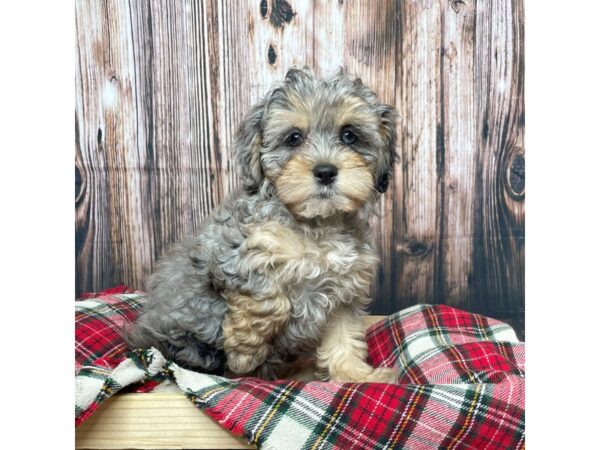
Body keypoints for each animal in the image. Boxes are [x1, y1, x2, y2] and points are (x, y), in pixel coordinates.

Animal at [123, 67, 398, 384]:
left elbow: (344, 337)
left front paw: (355, 375)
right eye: (294, 138)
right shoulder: (236, 254)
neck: (316, 223)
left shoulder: (345, 289)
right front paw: (245, 352)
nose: (326, 171)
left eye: (349, 135)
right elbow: (270, 299)